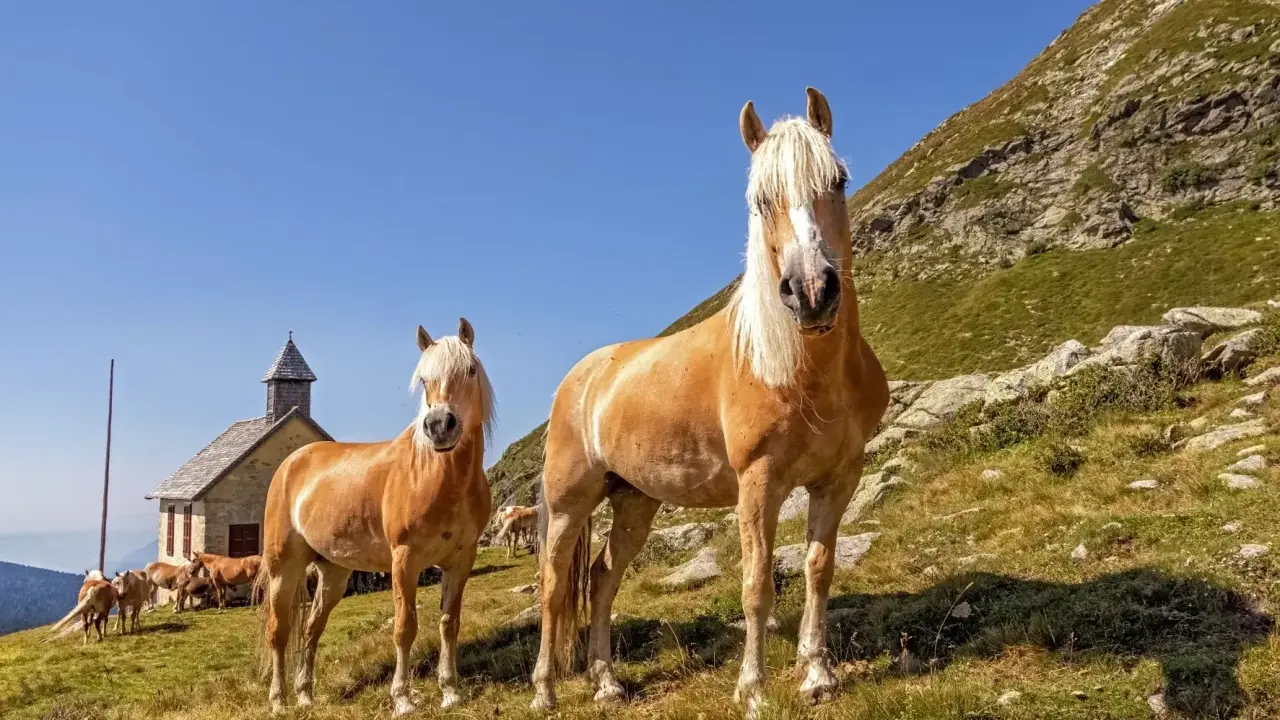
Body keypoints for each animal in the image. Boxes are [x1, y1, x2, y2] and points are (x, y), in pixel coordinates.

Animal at [257, 318, 496, 715]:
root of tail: (291, 462)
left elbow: (449, 623)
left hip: (333, 571)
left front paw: (450, 692)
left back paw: (305, 696)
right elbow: (405, 627)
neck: (436, 477)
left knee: (311, 628)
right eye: (424, 379)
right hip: (283, 567)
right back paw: (278, 702)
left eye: (470, 370)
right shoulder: (404, 560)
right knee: (279, 631)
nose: (439, 426)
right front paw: (403, 699)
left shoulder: (461, 560)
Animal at [529, 87, 889, 717]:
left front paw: (817, 675)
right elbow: (757, 584)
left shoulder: (839, 478)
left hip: (635, 503)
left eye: (839, 180)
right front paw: (753, 689)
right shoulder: (758, 483)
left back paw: (606, 683)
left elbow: (819, 570)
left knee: (601, 580)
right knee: (554, 589)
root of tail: (578, 380)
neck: (803, 375)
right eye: (760, 198)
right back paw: (546, 689)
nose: (812, 292)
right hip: (570, 505)